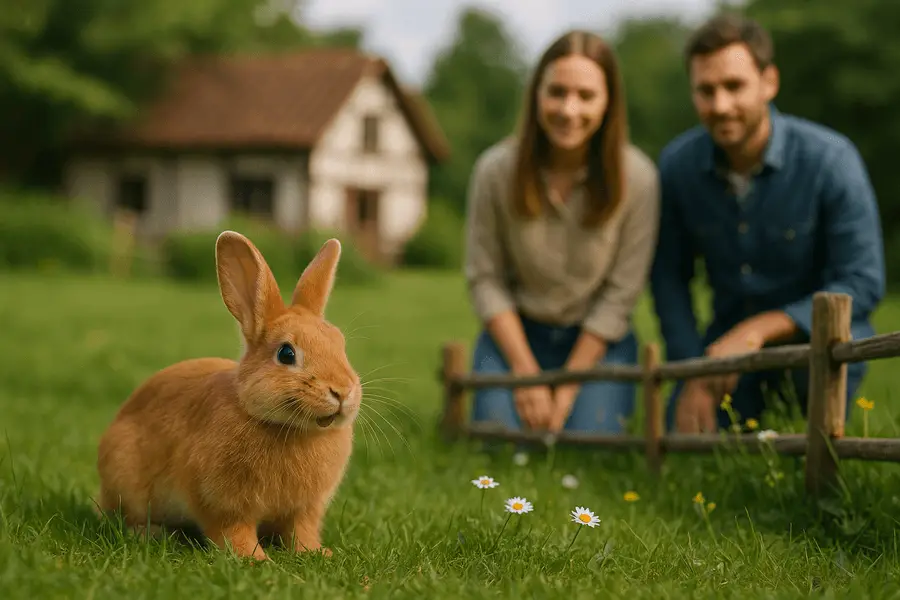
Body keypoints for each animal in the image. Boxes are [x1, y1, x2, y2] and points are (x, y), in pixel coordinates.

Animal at [95, 230, 361, 561]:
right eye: (286, 354)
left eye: (340, 344)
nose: (343, 391)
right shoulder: (221, 505)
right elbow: (233, 532)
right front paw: (255, 560)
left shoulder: (304, 510)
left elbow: (301, 532)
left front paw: (318, 553)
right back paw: (152, 533)